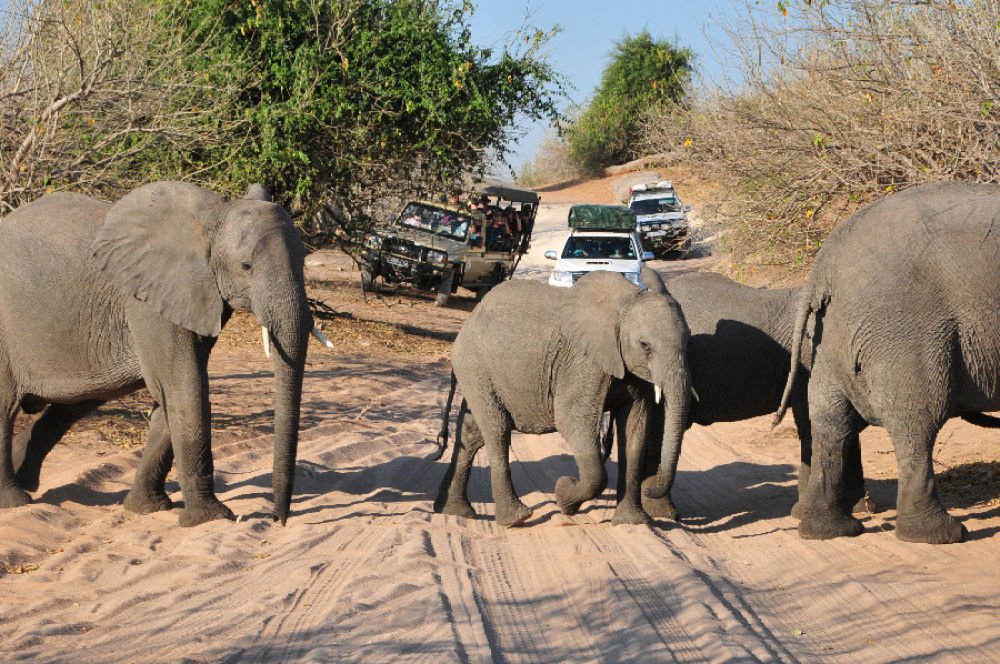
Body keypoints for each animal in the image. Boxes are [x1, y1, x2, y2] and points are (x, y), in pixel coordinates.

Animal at [0, 181, 317, 526]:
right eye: (246, 267)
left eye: (303, 263)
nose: (277, 520)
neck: (211, 217)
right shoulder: (149, 303)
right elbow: (185, 388)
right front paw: (210, 519)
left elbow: (173, 395)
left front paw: (147, 509)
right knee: (6, 407)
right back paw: (14, 500)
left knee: (77, 402)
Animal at [433, 270, 692, 527]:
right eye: (644, 345)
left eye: (688, 340)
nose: (651, 490)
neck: (626, 299)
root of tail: (469, 320)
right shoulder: (583, 362)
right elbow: (572, 421)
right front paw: (564, 496)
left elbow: (635, 430)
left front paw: (633, 522)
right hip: (475, 365)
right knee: (497, 430)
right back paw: (516, 518)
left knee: (471, 432)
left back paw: (455, 511)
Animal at [775, 181, 1000, 544]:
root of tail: (824, 265)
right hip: (906, 331)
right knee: (919, 421)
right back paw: (938, 534)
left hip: (830, 335)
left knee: (830, 420)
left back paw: (827, 530)